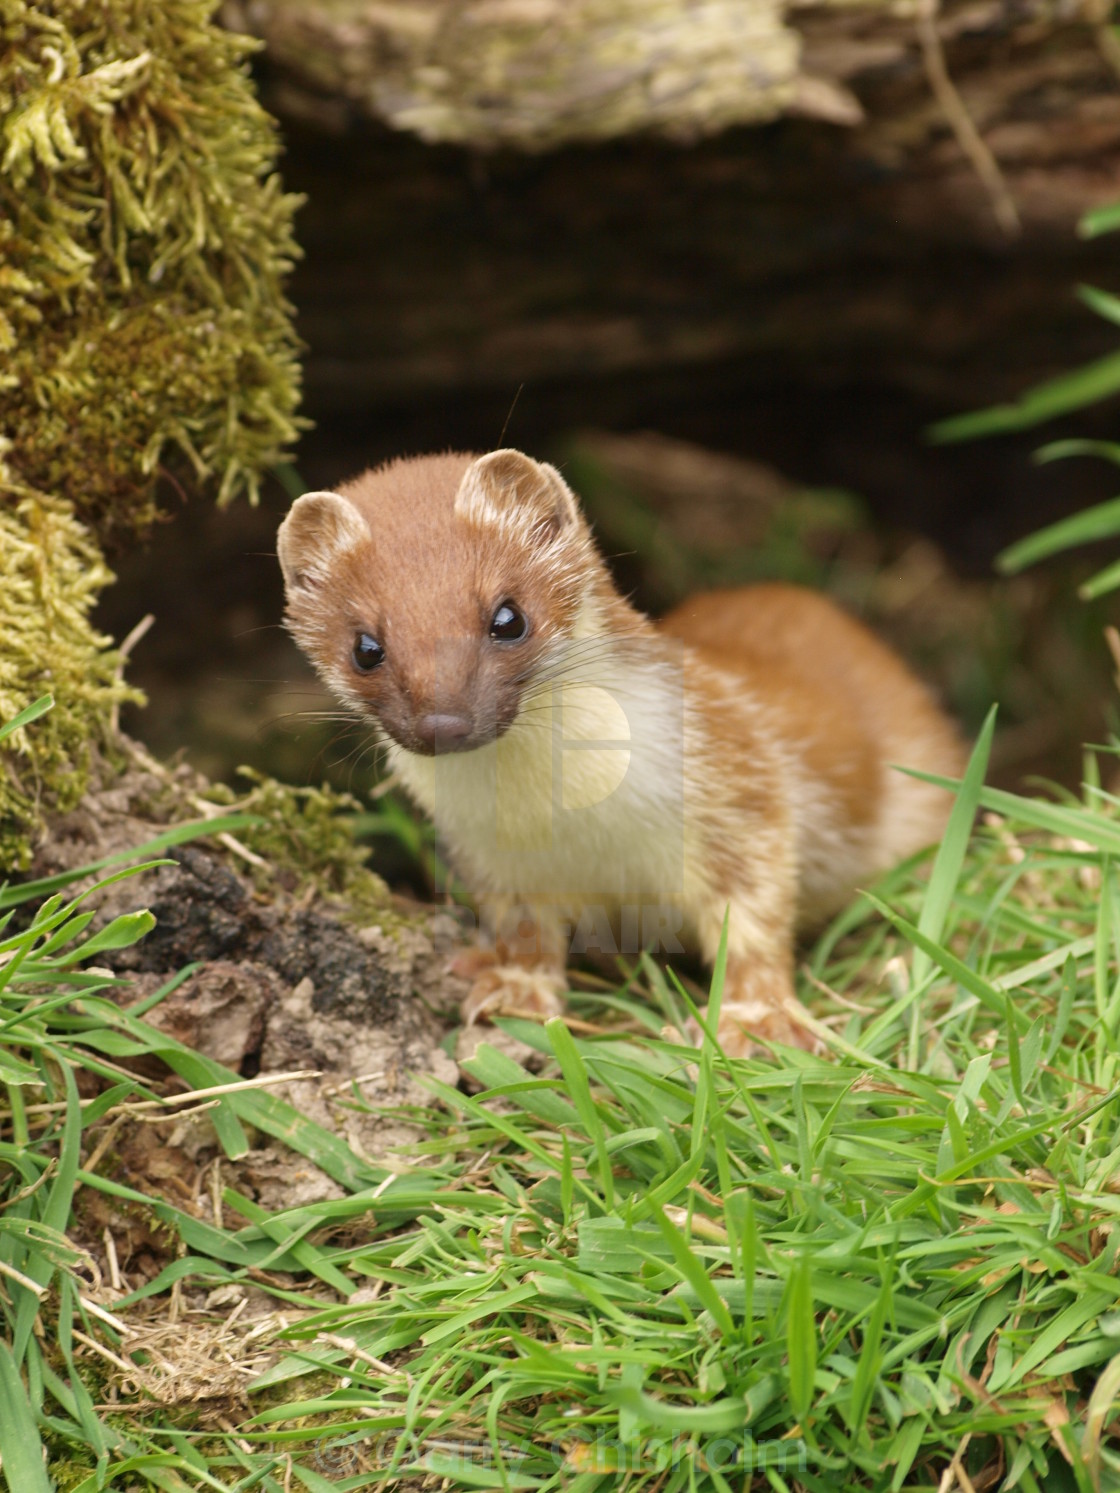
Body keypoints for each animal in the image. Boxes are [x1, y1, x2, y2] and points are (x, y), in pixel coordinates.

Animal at [279, 450, 967, 1051]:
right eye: (366, 648)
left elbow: (755, 912)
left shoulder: (738, 781)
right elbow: (522, 925)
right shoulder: (489, 854)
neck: (574, 819)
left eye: (508, 617)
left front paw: (755, 1018)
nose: (443, 722)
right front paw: (513, 988)